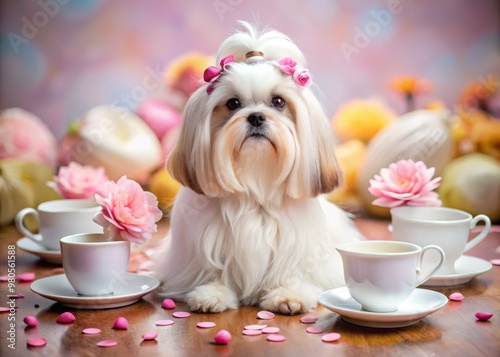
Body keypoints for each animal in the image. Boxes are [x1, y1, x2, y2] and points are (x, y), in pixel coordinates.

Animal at [153, 20, 364, 312]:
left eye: (278, 102)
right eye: (233, 103)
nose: (255, 117)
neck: (256, 191)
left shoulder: (298, 247)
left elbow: (294, 271)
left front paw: (289, 294)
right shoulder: (206, 244)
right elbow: (214, 270)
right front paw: (212, 293)